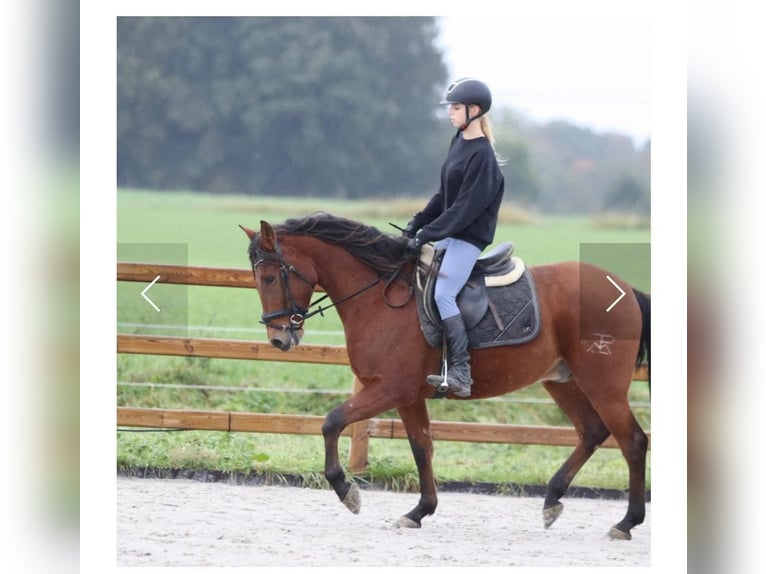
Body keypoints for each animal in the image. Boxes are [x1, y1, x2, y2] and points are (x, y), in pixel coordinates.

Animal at [238, 214, 648, 544]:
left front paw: (346, 491)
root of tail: (623, 288)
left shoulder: (389, 389)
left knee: (633, 441)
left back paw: (626, 522)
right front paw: (419, 511)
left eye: (270, 277)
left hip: (603, 386)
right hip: (562, 381)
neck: (378, 297)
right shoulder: (408, 396)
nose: (278, 339)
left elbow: (332, 421)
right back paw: (552, 499)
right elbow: (422, 447)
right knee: (592, 431)